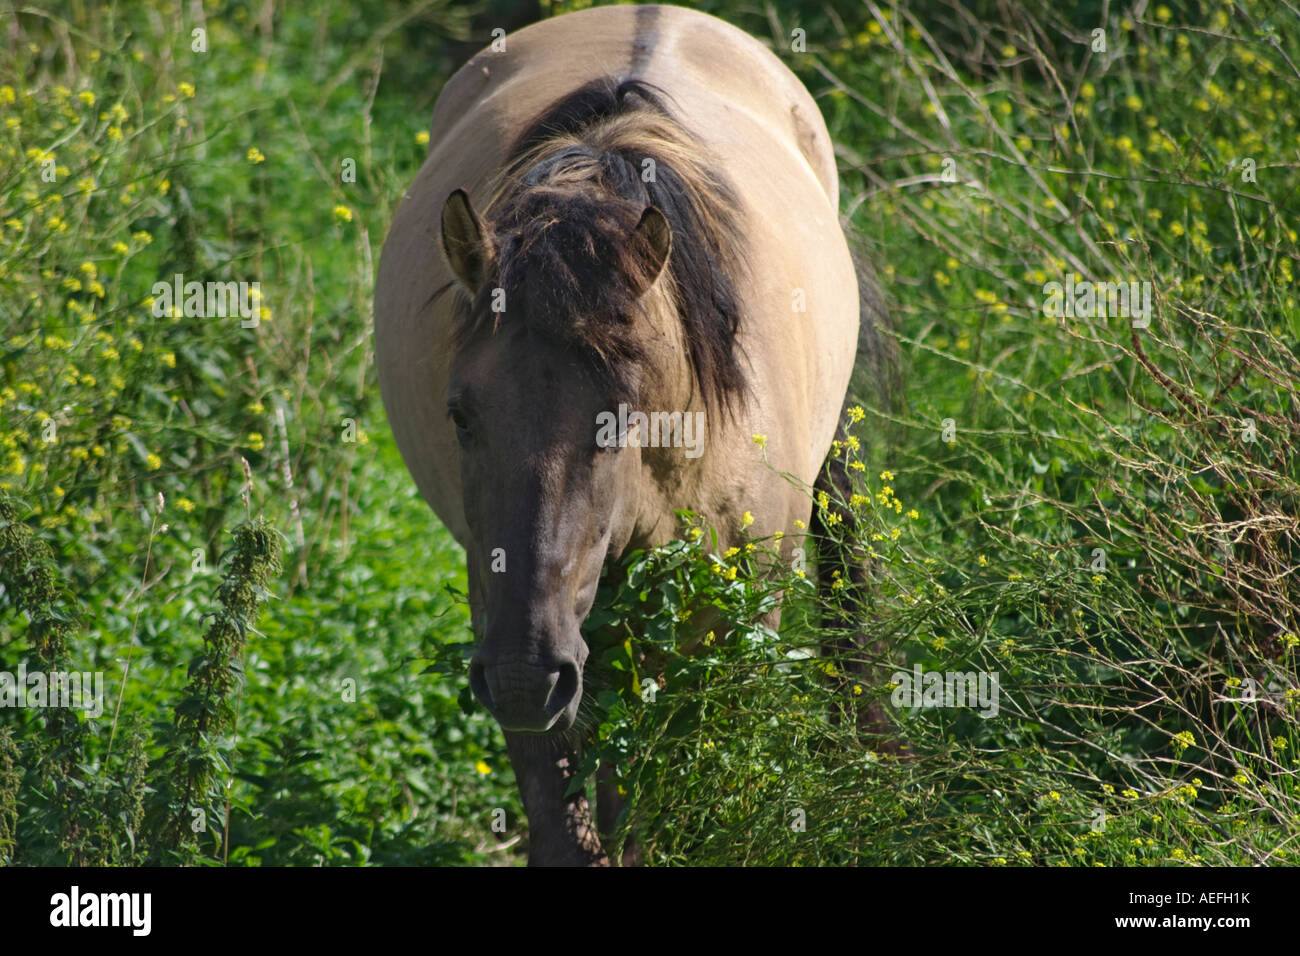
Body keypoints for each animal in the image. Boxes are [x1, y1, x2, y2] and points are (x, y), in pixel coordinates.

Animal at [374, 4, 879, 865]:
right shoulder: (508, 607)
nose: (524, 677)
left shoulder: (730, 629)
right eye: (461, 415)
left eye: (619, 417)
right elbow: (568, 818)